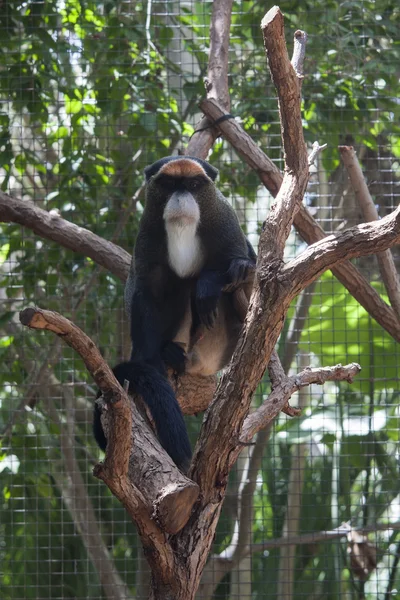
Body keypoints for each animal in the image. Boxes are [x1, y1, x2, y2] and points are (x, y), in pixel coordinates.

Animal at [93, 156, 256, 474]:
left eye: (192, 184)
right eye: (169, 184)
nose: (181, 197)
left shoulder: (226, 223)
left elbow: (245, 268)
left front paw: (214, 281)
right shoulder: (148, 235)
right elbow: (144, 292)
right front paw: (150, 361)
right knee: (175, 285)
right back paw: (169, 352)